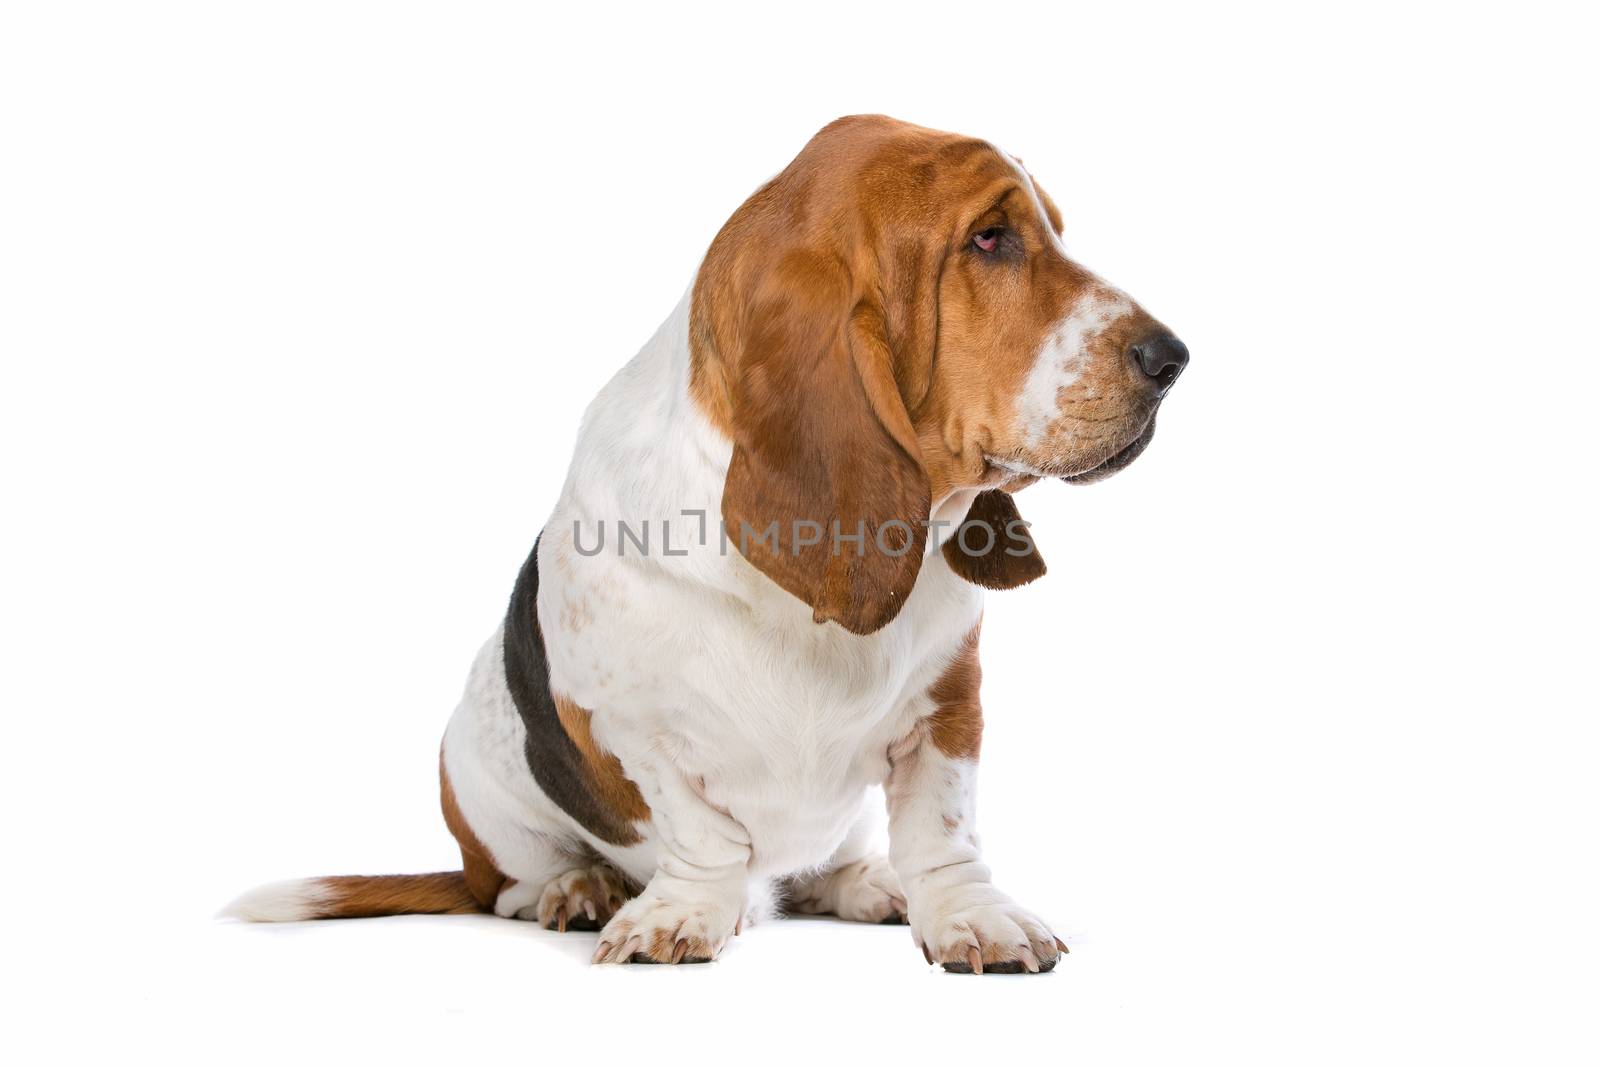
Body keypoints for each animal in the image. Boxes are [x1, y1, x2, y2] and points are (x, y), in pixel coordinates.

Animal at [232, 112, 1196, 972]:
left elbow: (942, 828)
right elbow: (701, 832)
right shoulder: (632, 726)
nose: (1173, 358)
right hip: (471, 779)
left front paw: (971, 917)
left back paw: (867, 884)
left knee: (833, 866)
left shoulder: (949, 704)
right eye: (990, 239)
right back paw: (580, 889)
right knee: (514, 883)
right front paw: (682, 914)